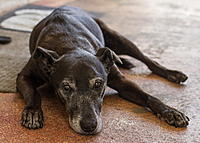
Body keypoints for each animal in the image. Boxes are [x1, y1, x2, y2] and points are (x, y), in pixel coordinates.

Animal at [16, 6, 189, 135]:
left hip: (119, 39)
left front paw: (170, 111)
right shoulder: (24, 76)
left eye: (98, 84)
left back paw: (173, 74)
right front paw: (33, 111)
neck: (71, 45)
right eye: (66, 87)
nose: (89, 126)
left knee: (148, 60)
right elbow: (33, 93)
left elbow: (149, 96)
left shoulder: (121, 81)